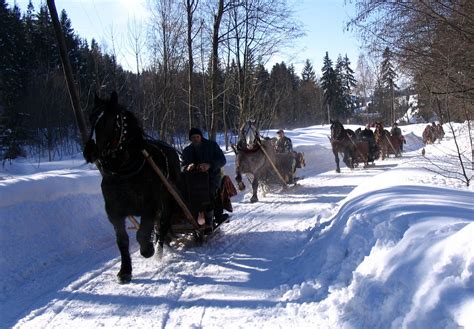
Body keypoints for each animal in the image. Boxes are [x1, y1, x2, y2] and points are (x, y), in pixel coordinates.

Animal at [82, 91, 181, 282]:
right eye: (90, 118)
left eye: (110, 120)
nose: (89, 151)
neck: (124, 171)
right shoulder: (114, 212)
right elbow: (122, 241)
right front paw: (125, 271)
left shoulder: (150, 206)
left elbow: (142, 233)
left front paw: (148, 250)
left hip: (168, 199)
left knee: (163, 224)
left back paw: (158, 251)